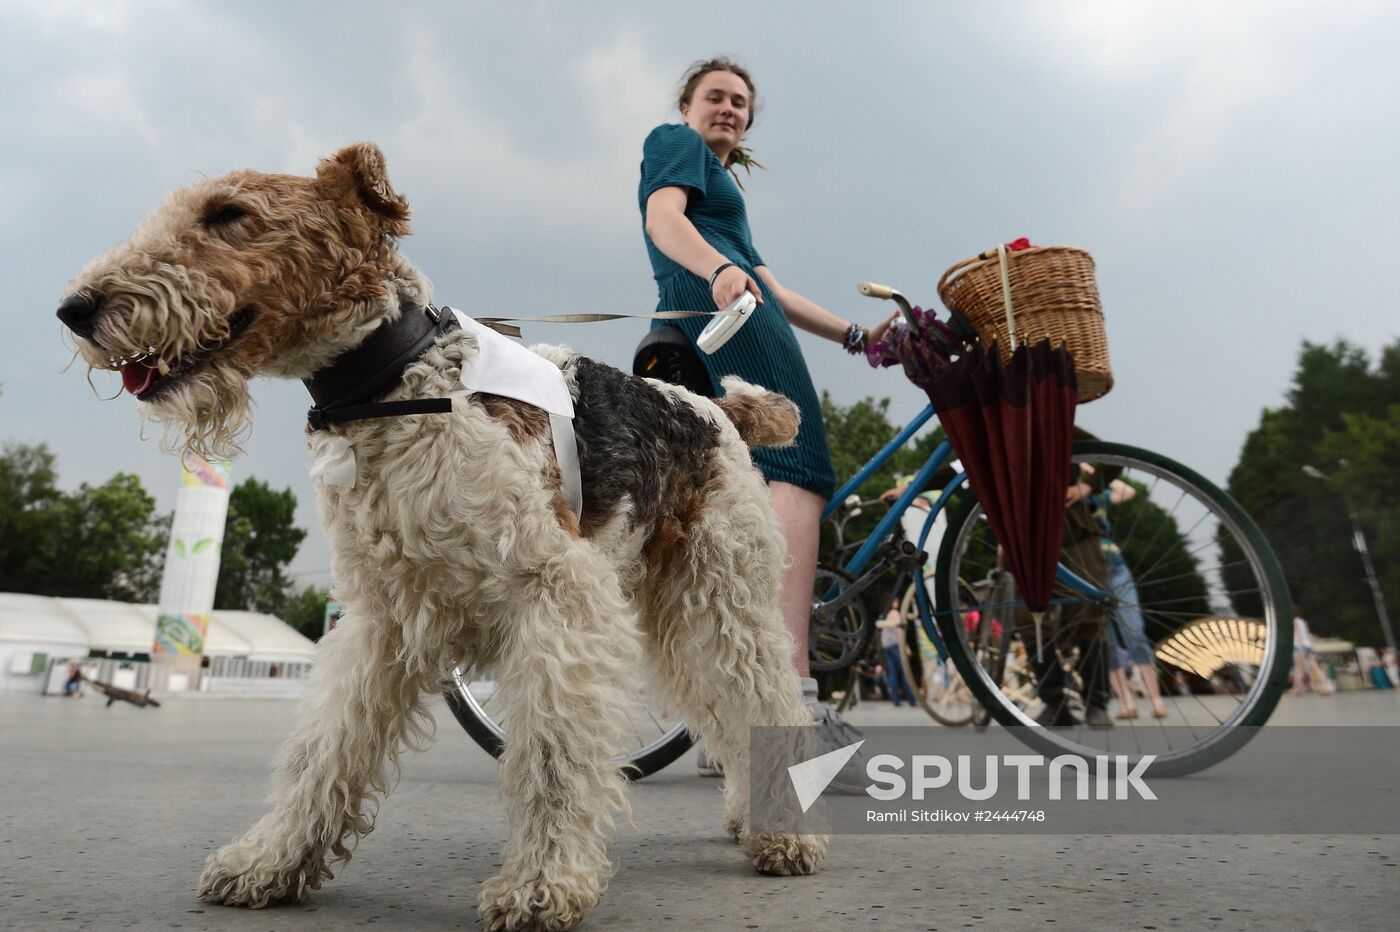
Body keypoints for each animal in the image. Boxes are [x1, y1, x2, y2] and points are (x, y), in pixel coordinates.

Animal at [60, 141, 823, 923]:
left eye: (229, 214)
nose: (75, 309)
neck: (397, 384)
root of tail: (718, 410)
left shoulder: (556, 593)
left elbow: (551, 754)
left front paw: (542, 885)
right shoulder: (383, 616)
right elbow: (324, 748)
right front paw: (269, 862)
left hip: (721, 601)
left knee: (766, 697)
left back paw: (785, 835)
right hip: (677, 614)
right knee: (723, 712)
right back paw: (751, 818)